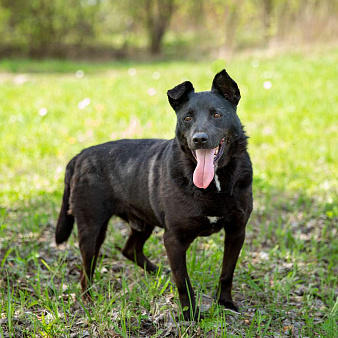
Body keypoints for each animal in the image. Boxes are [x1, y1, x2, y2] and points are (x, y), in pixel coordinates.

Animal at [55, 68, 251, 320]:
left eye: (217, 115)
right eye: (187, 118)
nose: (199, 139)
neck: (214, 182)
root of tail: (79, 156)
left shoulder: (237, 231)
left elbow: (227, 272)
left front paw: (225, 302)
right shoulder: (174, 239)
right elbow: (183, 282)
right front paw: (190, 315)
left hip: (143, 222)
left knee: (130, 250)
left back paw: (159, 273)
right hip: (92, 228)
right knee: (86, 271)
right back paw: (89, 300)